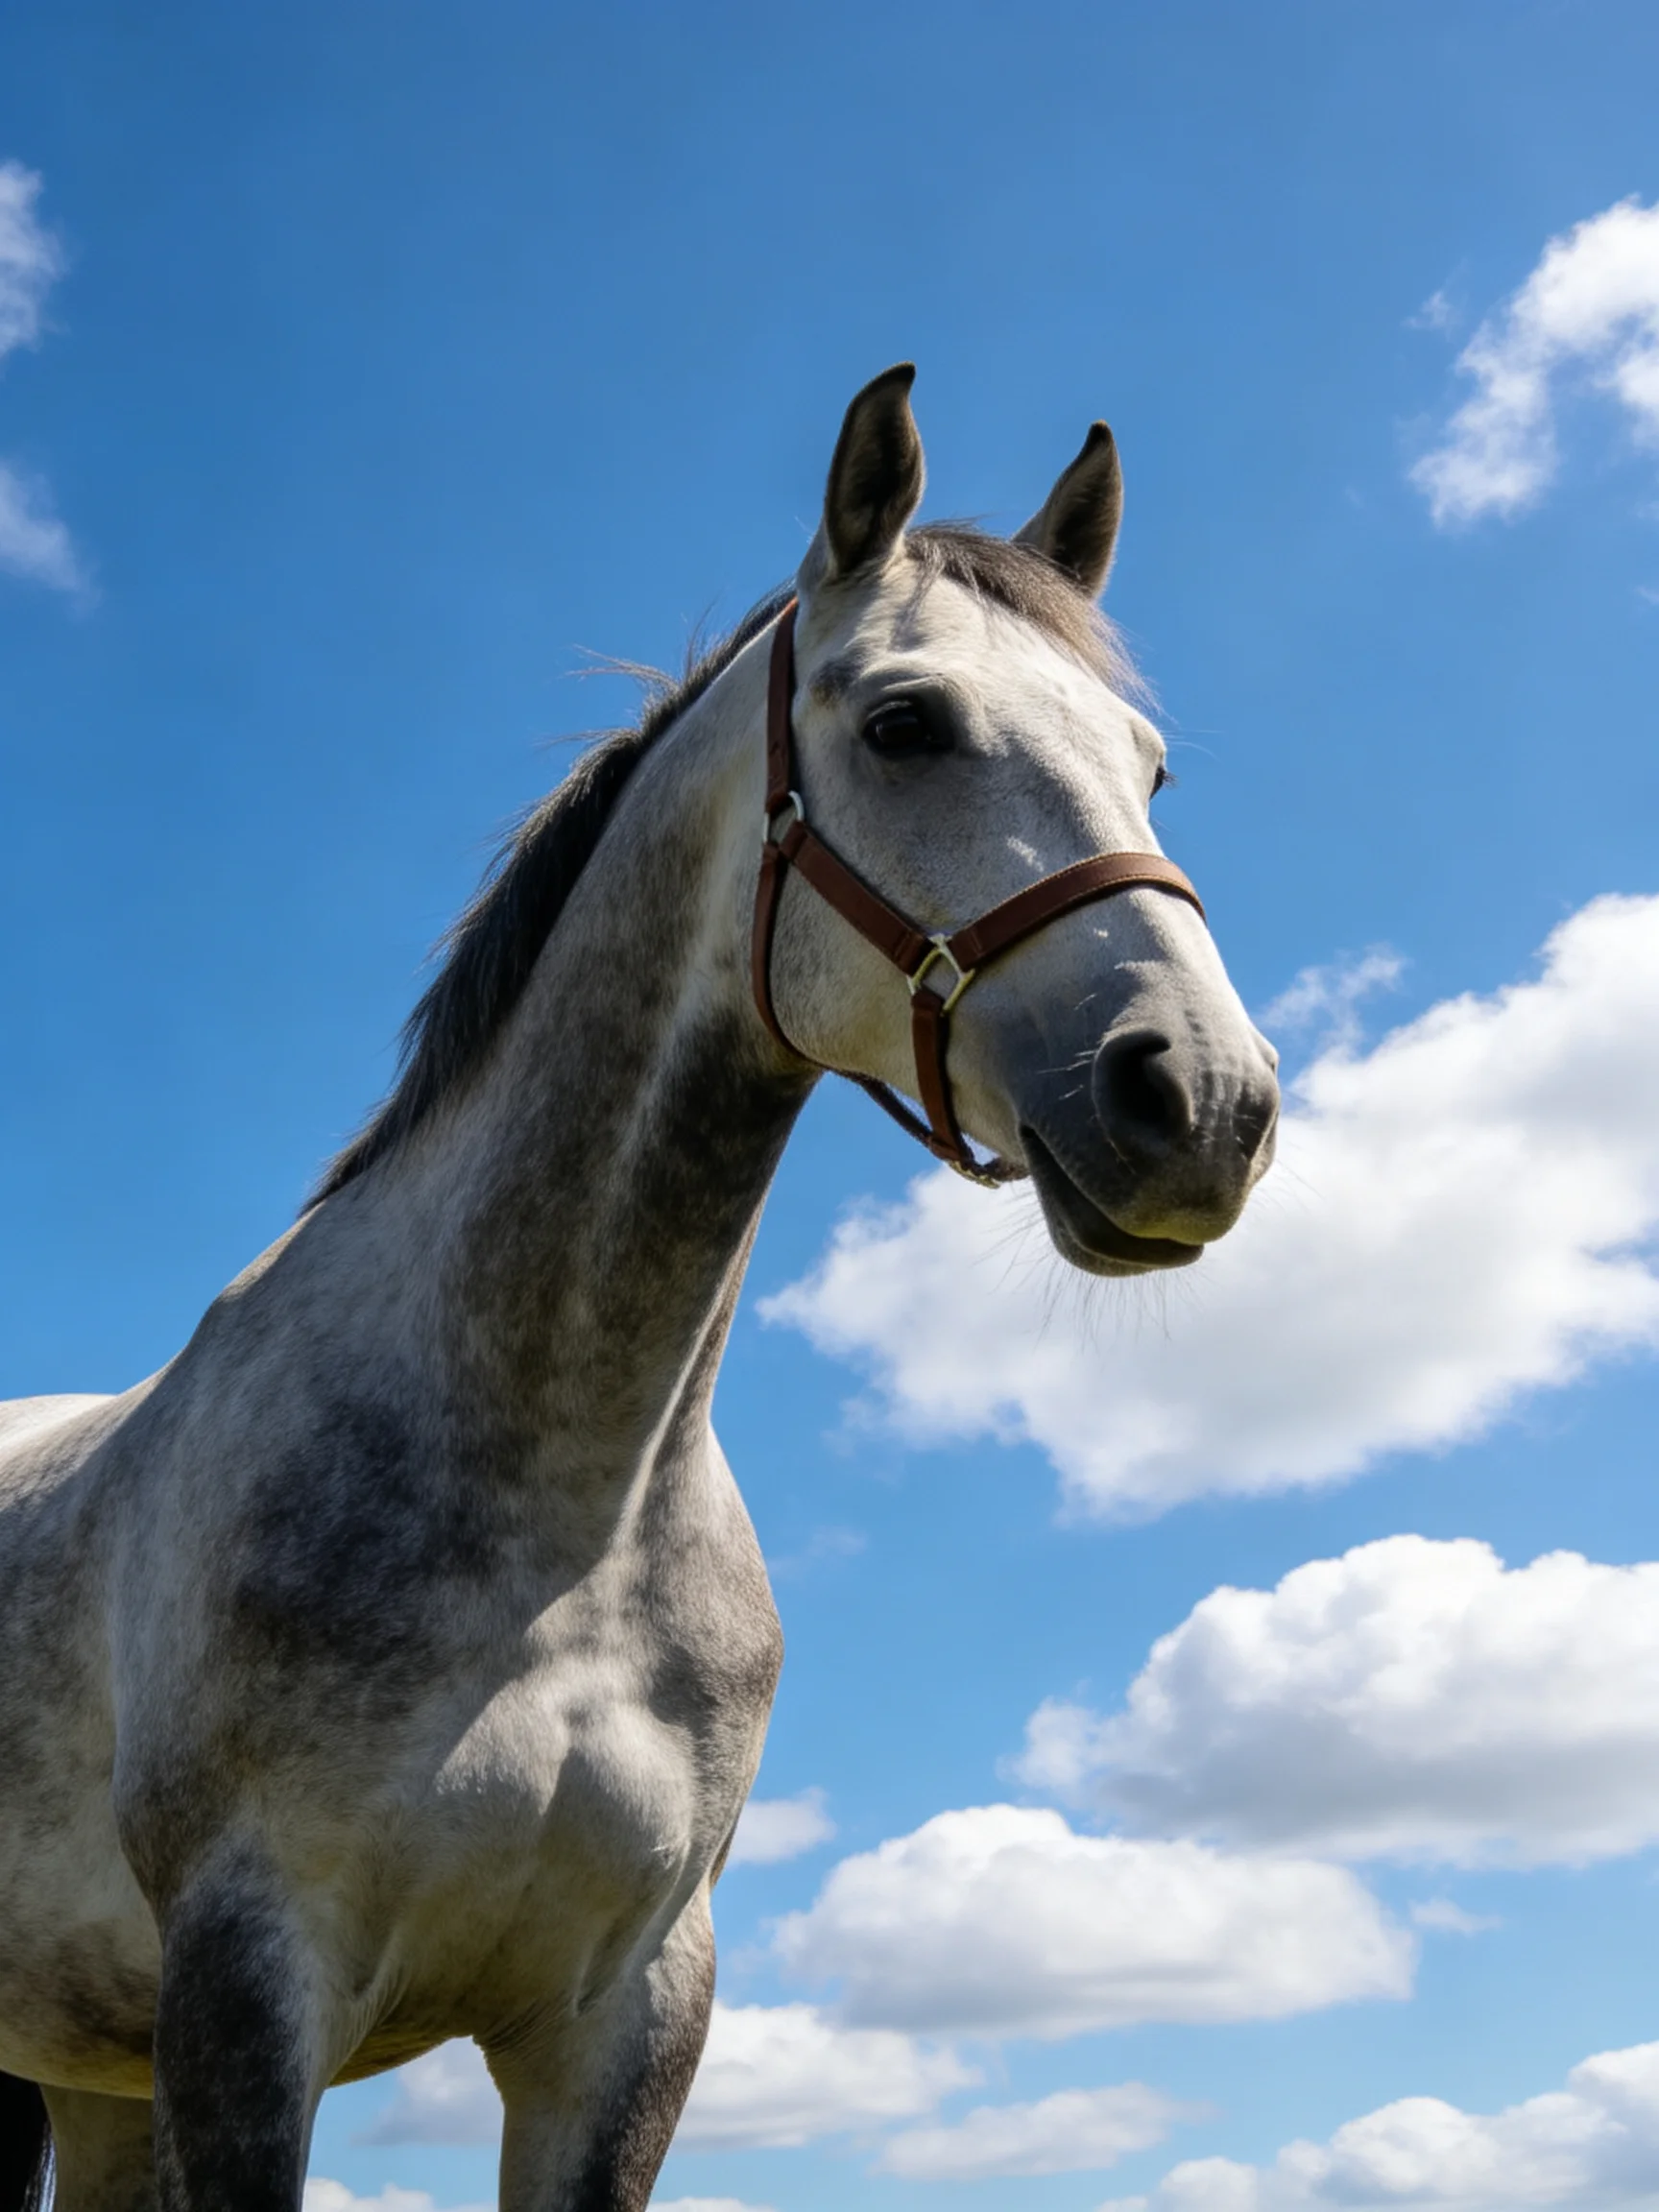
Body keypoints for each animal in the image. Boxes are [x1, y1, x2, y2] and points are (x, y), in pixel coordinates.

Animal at [0, 365, 1279, 2212]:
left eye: (1150, 765)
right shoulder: (247, 1996)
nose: (1201, 1102)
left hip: (91, 2073)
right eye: (906, 722)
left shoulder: (625, 2013)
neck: (563, 1508)